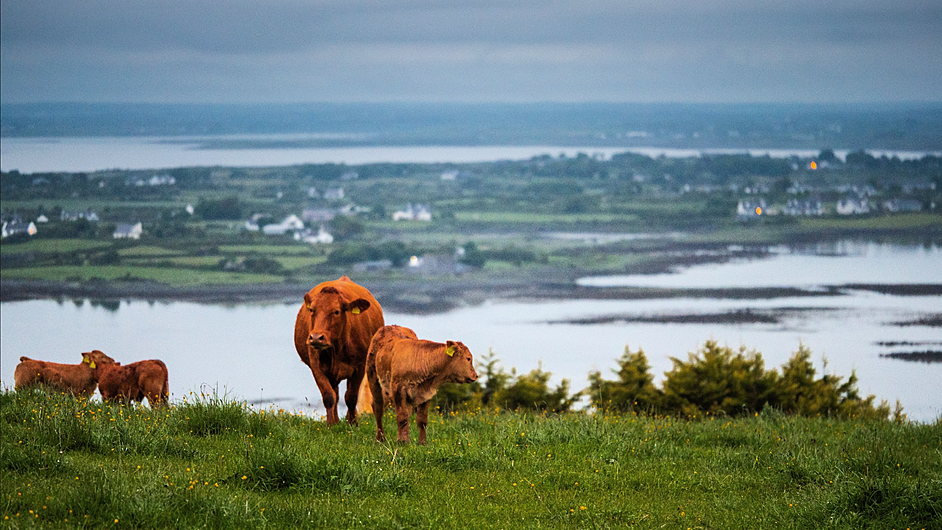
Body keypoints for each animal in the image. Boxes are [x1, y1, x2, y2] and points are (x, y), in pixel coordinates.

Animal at [294, 274, 386, 422]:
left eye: (336, 312)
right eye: (312, 310)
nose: (316, 337)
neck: (336, 349)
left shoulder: (360, 367)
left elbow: (351, 397)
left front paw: (352, 423)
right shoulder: (316, 366)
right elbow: (329, 397)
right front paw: (331, 424)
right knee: (335, 395)